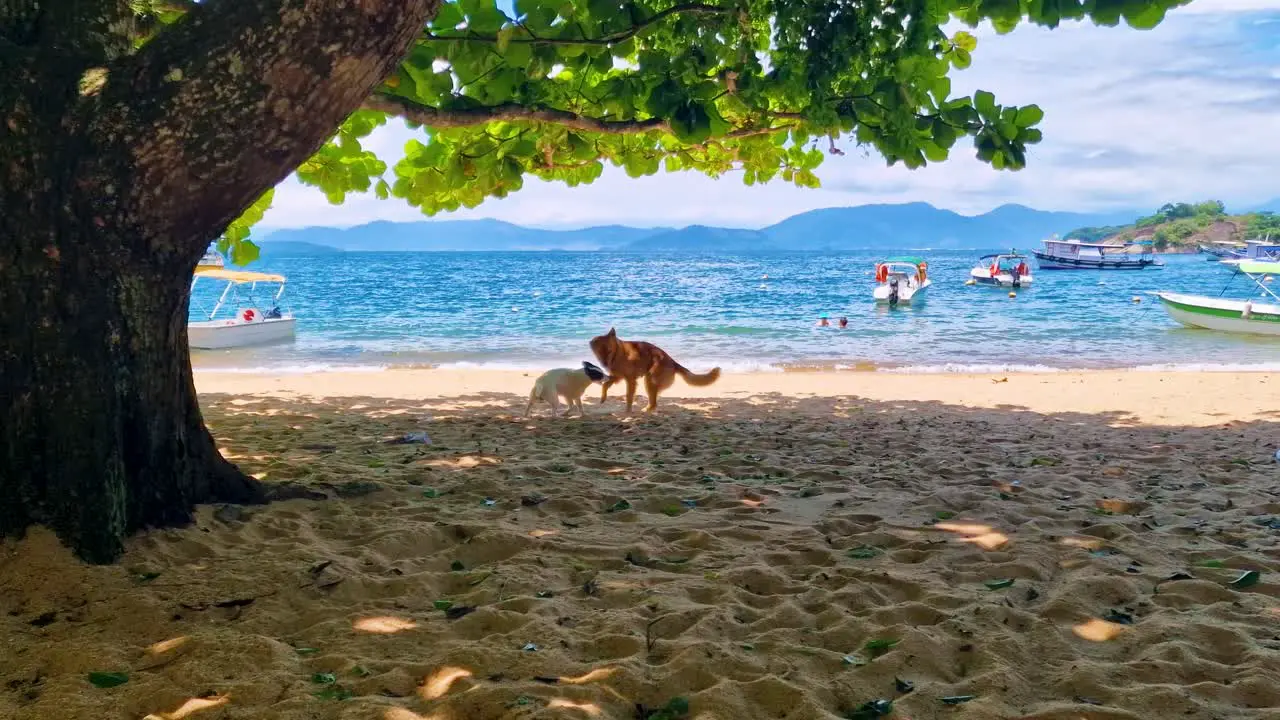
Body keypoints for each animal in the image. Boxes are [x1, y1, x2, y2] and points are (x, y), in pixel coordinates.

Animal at [588, 327, 721, 412]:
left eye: (609, 351)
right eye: (599, 352)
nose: (604, 363)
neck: (619, 353)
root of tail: (673, 362)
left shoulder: (630, 380)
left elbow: (629, 397)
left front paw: (628, 411)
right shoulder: (617, 376)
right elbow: (605, 385)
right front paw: (603, 398)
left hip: (649, 380)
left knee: (654, 403)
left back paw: (646, 411)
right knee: (654, 402)